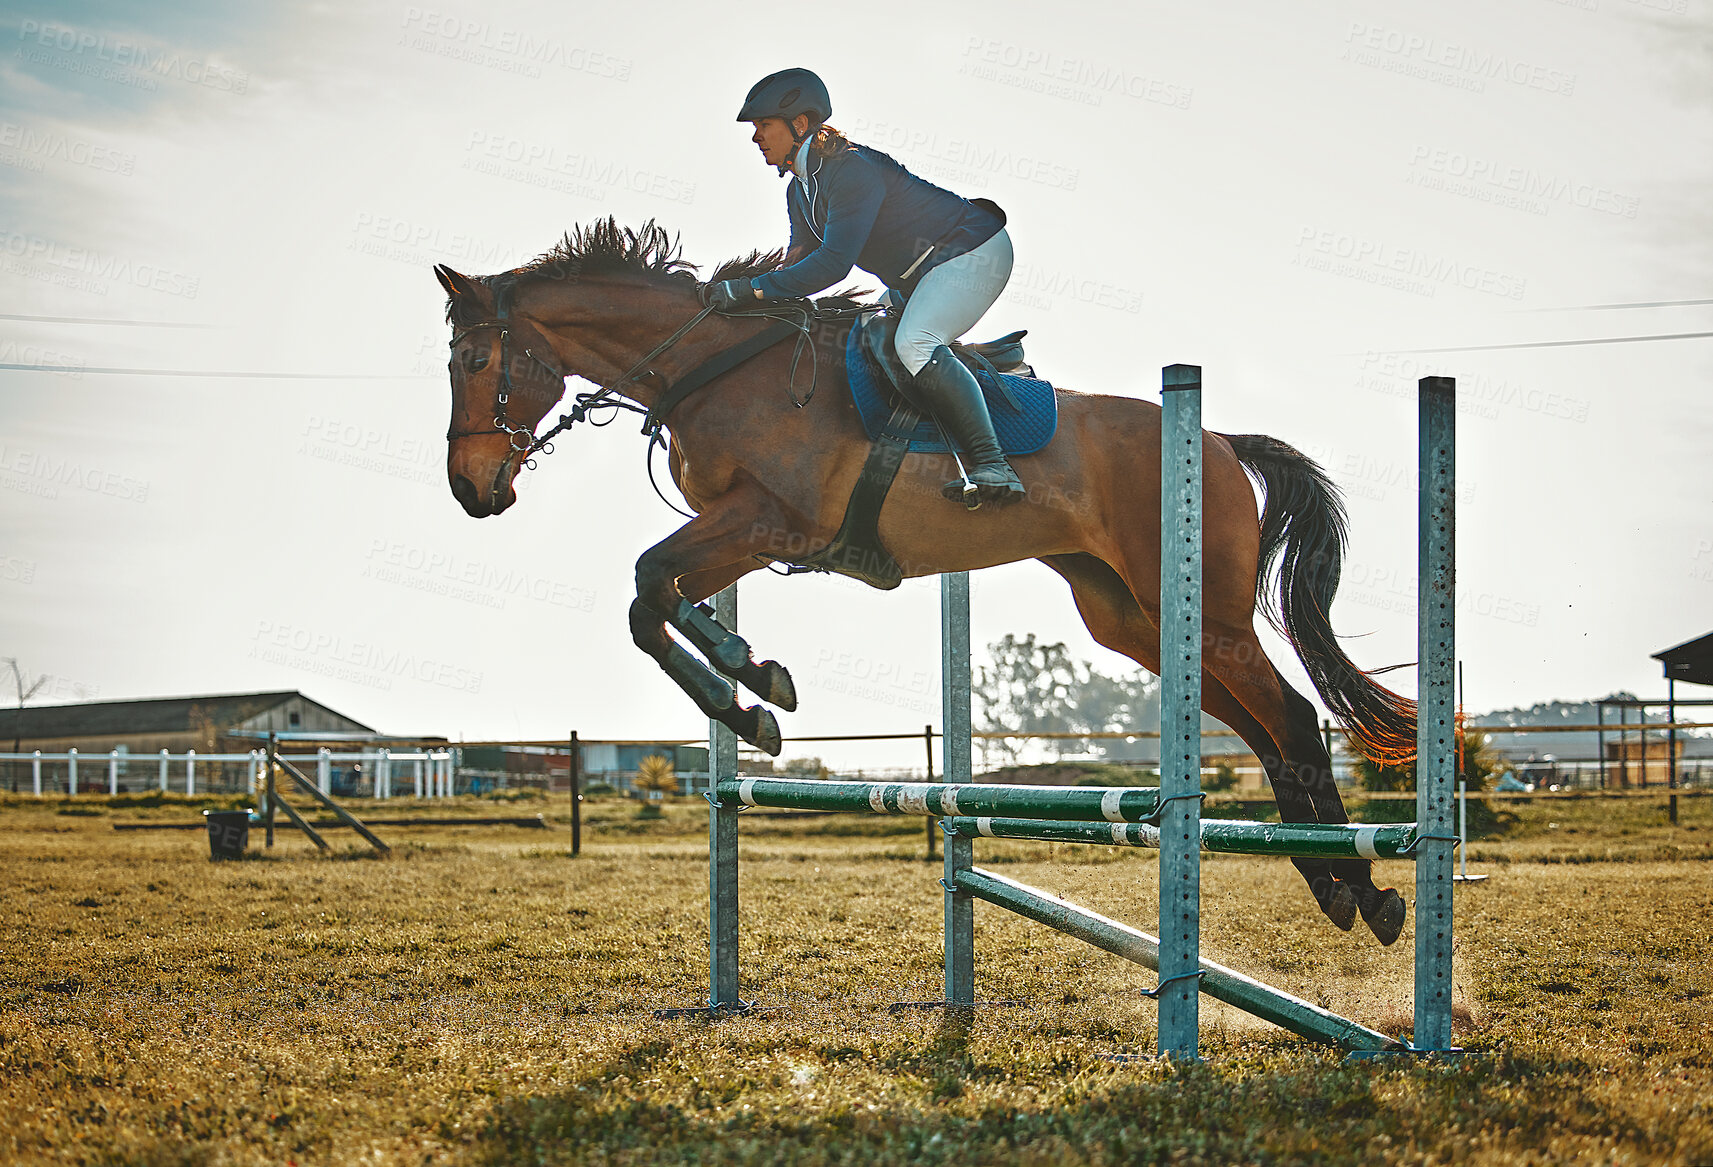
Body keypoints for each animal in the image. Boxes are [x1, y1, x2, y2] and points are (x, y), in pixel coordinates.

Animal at [438, 221, 1418, 945]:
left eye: (474, 364)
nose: (472, 491)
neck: (712, 365)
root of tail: (1216, 439)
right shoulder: (742, 530)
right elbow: (655, 601)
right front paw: (752, 688)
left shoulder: (771, 520)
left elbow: (649, 585)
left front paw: (753, 689)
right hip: (1133, 619)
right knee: (1263, 732)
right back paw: (1333, 884)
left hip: (1205, 613)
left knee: (1292, 717)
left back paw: (1368, 893)